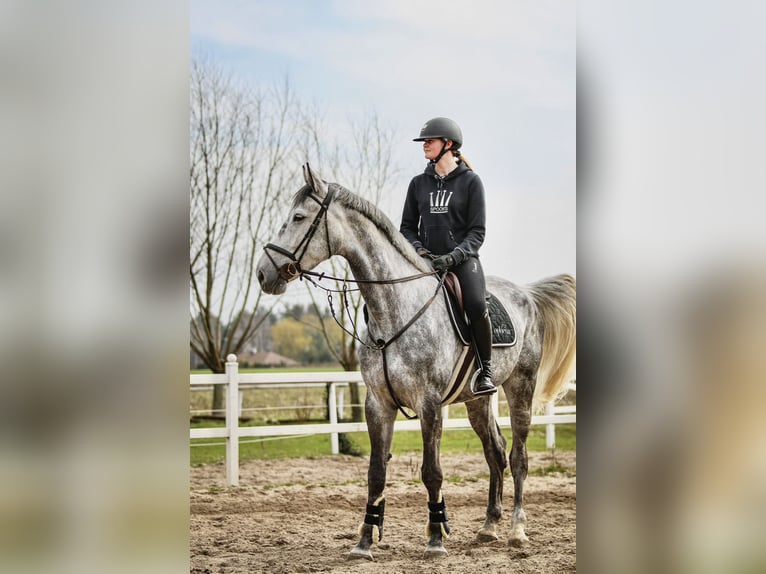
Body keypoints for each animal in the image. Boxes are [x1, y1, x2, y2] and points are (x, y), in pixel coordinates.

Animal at [258, 164, 576, 560]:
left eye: (299, 217)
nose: (264, 273)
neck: (395, 307)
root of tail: (527, 294)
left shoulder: (429, 403)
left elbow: (432, 471)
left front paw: (436, 538)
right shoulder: (378, 403)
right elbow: (376, 472)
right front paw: (365, 542)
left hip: (521, 386)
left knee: (518, 457)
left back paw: (517, 530)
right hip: (477, 400)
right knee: (496, 453)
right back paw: (488, 526)